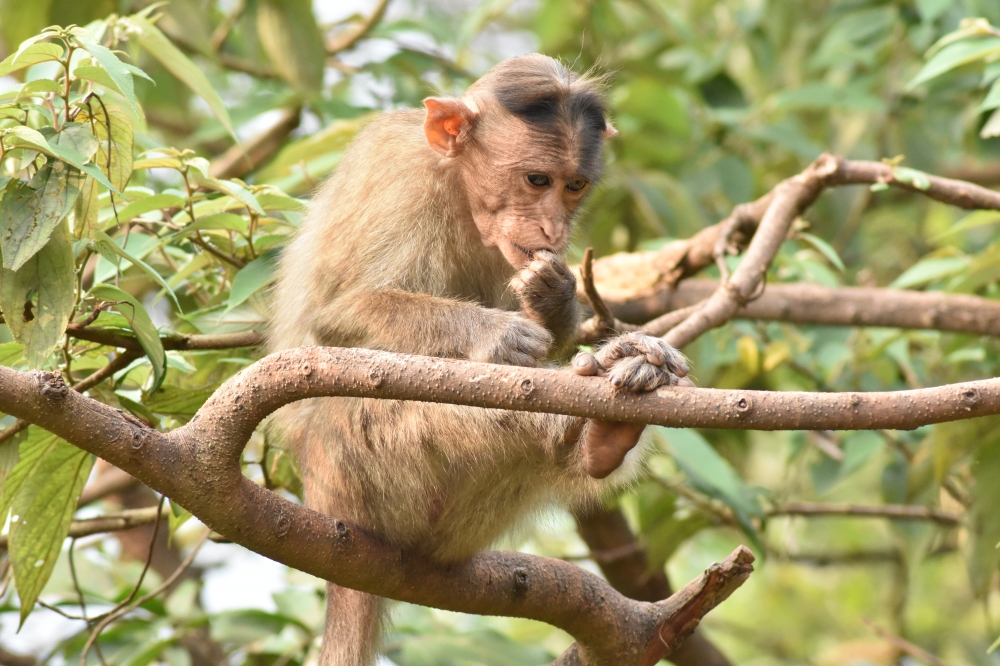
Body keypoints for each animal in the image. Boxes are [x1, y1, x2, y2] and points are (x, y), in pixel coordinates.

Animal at [268, 54, 690, 666]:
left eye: (574, 186)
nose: (554, 228)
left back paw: (607, 425)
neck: (458, 185)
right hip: (350, 467)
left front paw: (557, 302)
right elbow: (337, 314)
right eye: (536, 180)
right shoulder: (402, 181)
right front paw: (499, 335)